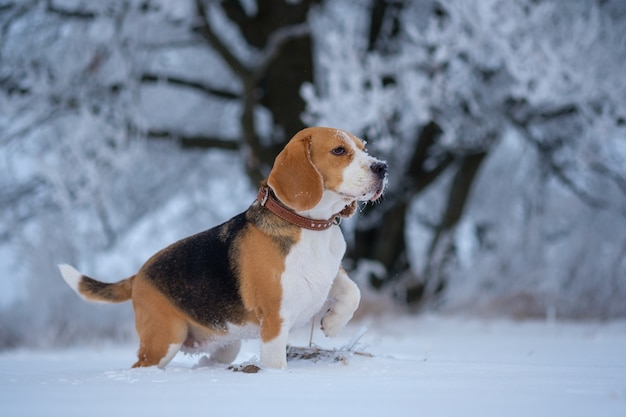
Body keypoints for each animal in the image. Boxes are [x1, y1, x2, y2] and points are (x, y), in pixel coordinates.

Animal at [58, 127, 386, 368]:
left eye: (363, 146)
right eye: (339, 151)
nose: (382, 167)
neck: (311, 227)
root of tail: (139, 275)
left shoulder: (329, 271)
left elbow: (352, 290)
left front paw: (333, 323)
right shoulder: (274, 323)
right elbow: (277, 365)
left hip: (224, 345)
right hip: (163, 341)